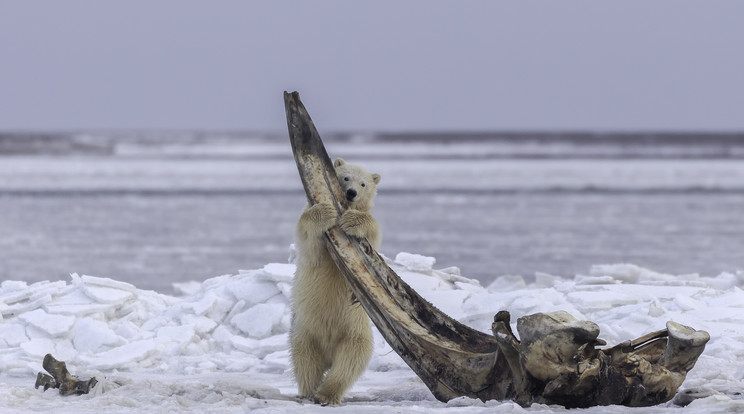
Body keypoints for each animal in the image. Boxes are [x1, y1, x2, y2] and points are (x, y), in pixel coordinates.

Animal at [290, 158, 384, 404]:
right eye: (345, 177)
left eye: (363, 184)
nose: (351, 193)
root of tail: (329, 352)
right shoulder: (316, 248)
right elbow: (309, 242)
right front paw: (325, 212)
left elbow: (372, 236)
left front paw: (352, 220)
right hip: (304, 330)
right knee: (306, 361)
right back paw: (310, 392)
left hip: (354, 332)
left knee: (349, 362)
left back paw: (326, 393)